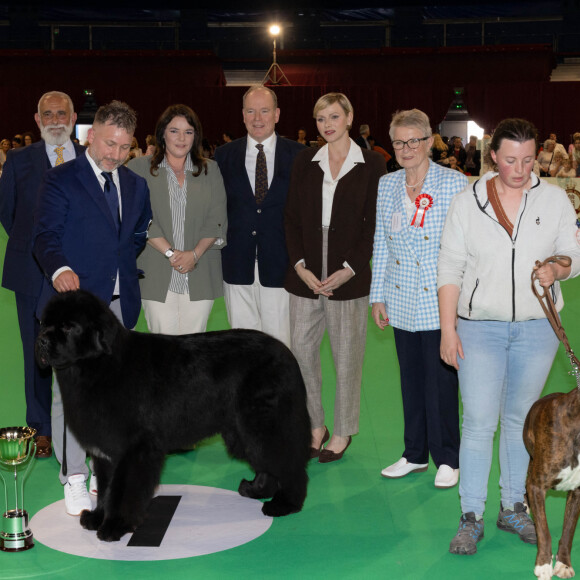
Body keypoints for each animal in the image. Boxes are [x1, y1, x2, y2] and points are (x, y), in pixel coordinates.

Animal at [34, 292, 310, 540]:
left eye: (68, 327)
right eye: (44, 324)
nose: (42, 341)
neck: (100, 367)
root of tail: (287, 353)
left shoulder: (134, 449)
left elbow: (123, 491)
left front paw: (115, 526)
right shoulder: (106, 451)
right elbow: (105, 488)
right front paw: (97, 517)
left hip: (263, 423)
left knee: (289, 461)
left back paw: (285, 503)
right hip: (242, 430)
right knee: (266, 462)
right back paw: (255, 489)